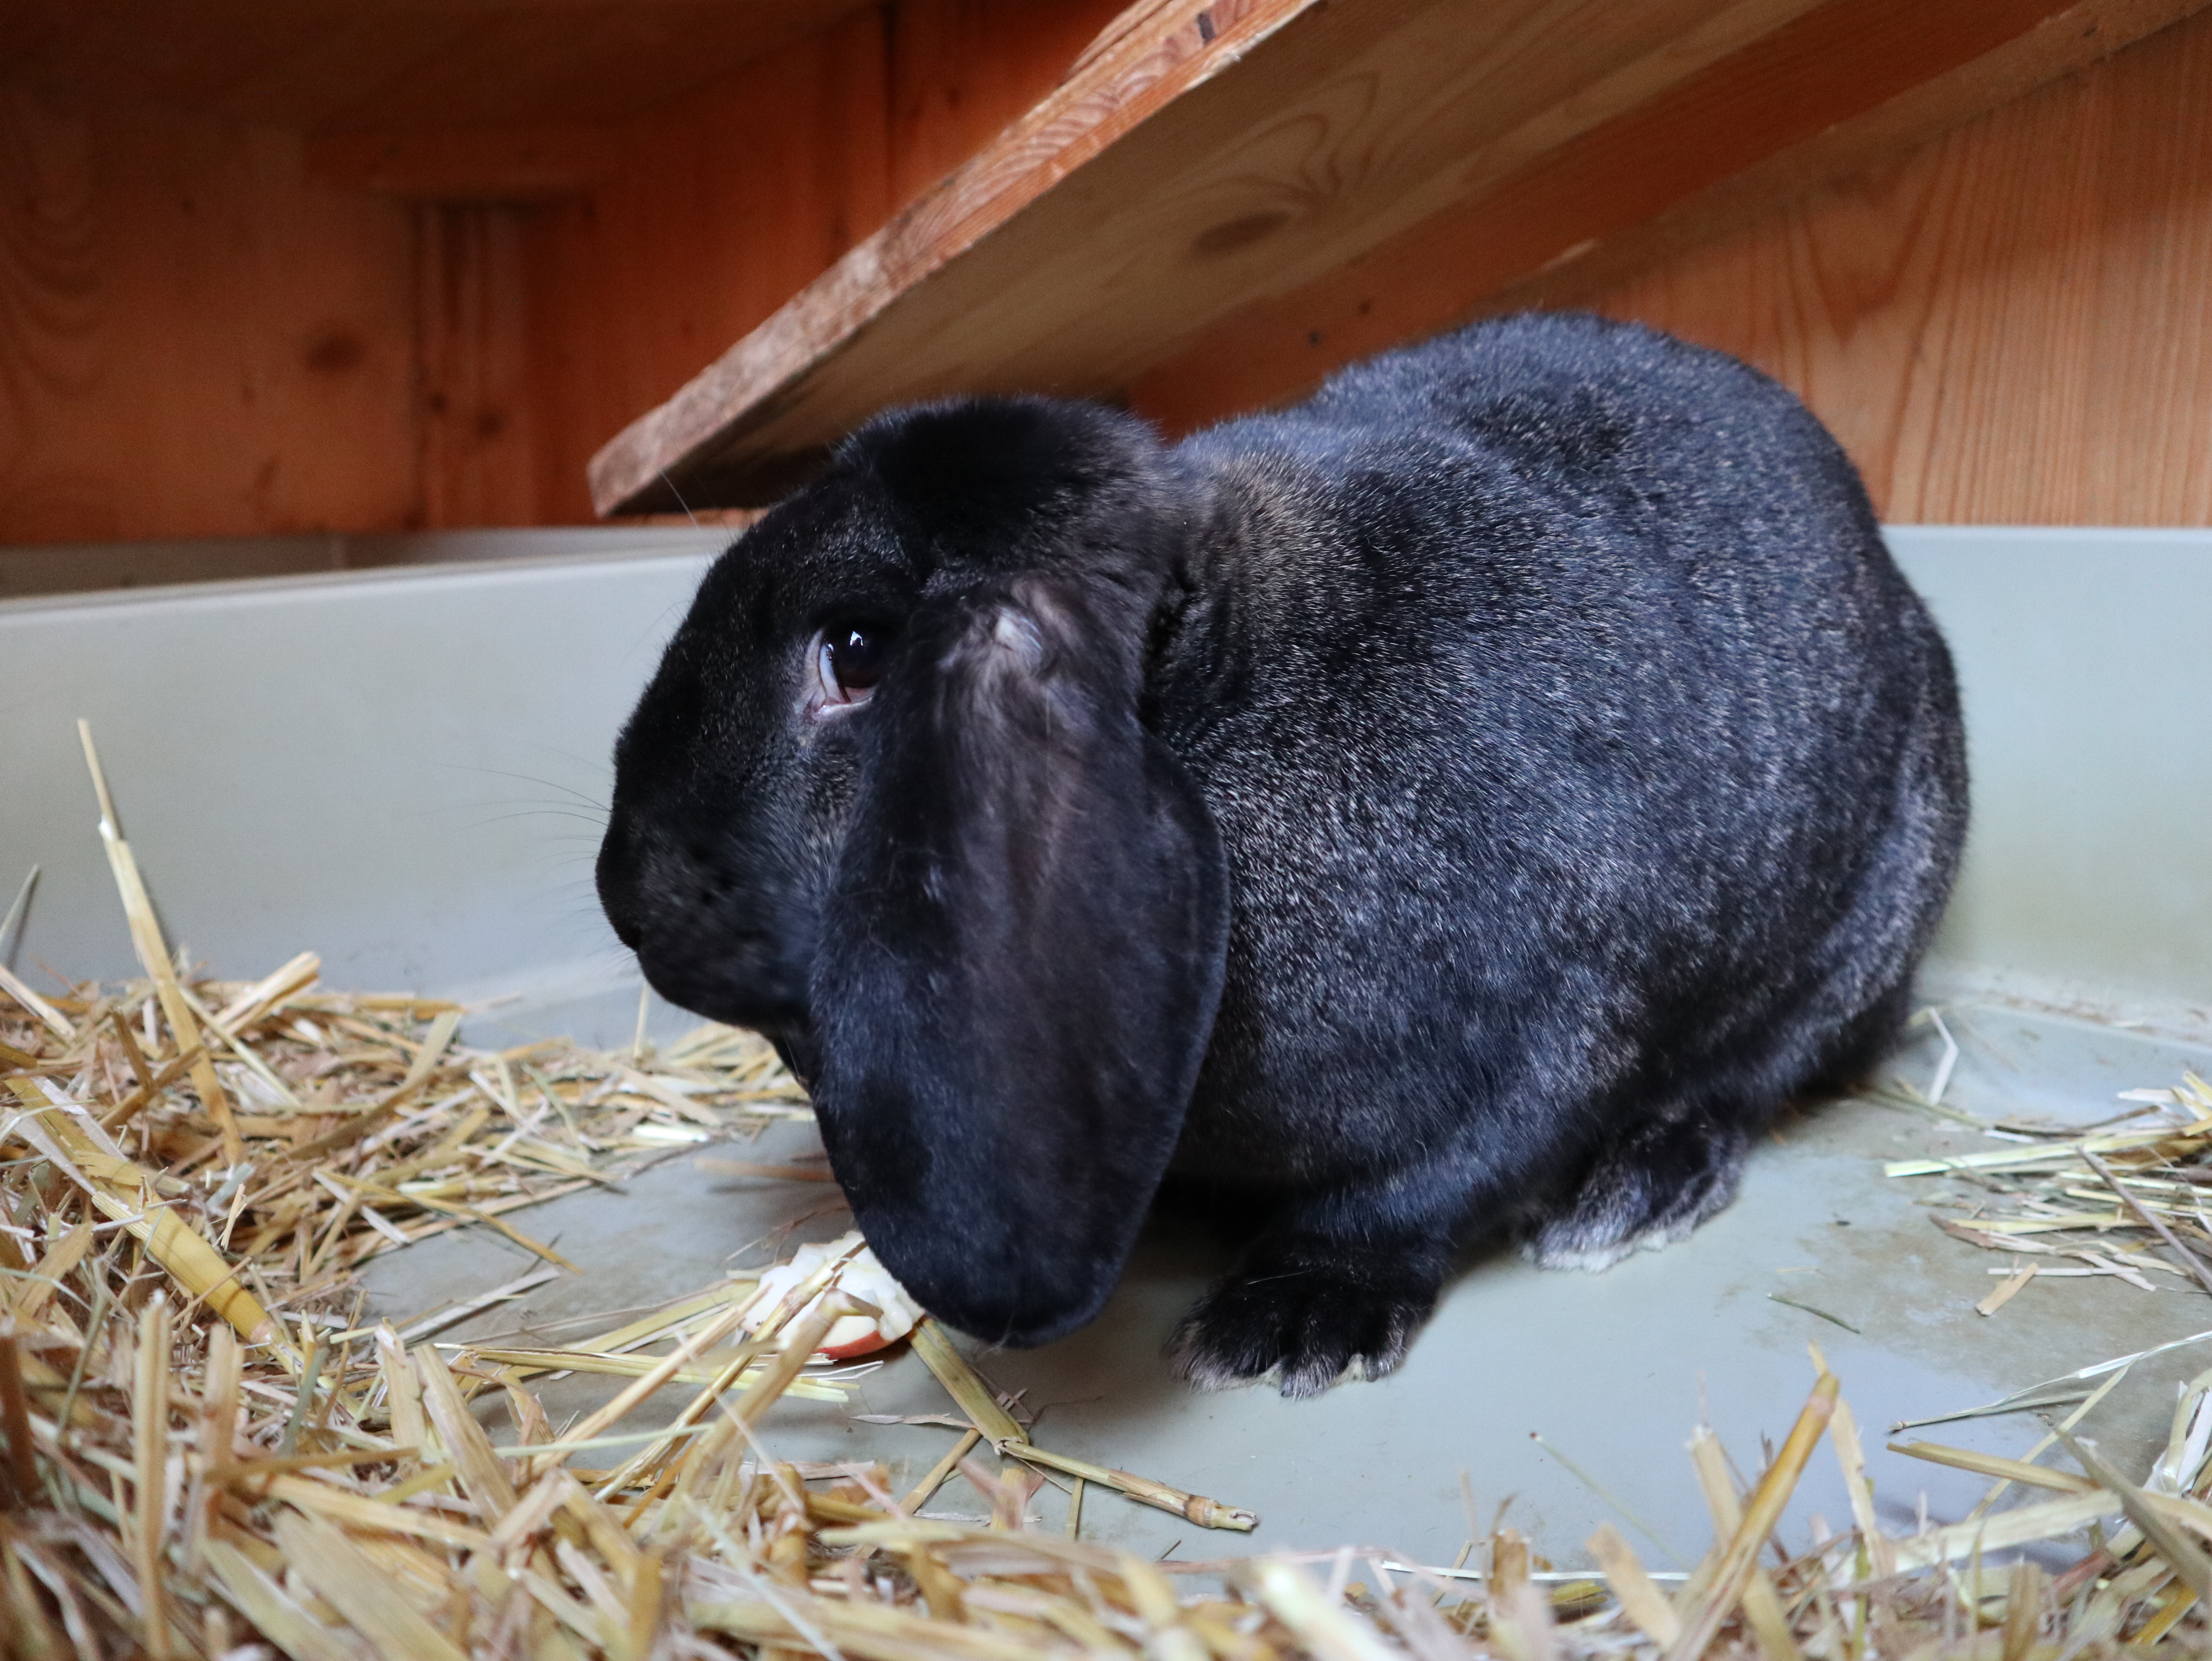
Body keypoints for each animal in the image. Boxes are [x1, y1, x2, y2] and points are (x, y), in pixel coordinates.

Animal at [596, 310, 1968, 1397]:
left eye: (859, 652)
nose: (625, 893)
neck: (1236, 702)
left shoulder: (1557, 1037)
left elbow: (1416, 1193)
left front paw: (1282, 1326)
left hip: (1864, 923)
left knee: (1752, 1075)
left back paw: (1642, 1187)